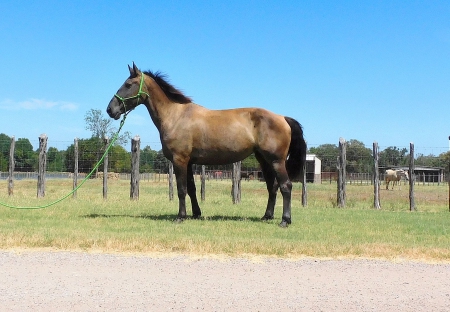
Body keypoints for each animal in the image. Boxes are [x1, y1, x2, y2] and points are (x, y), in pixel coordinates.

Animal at [107, 62, 308, 227]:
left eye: (128, 84)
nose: (110, 109)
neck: (176, 116)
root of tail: (283, 118)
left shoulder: (180, 160)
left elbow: (181, 189)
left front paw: (180, 217)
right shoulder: (188, 162)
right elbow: (192, 189)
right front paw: (196, 214)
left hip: (276, 161)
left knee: (286, 186)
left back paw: (285, 220)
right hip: (264, 160)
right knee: (272, 187)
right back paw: (267, 216)